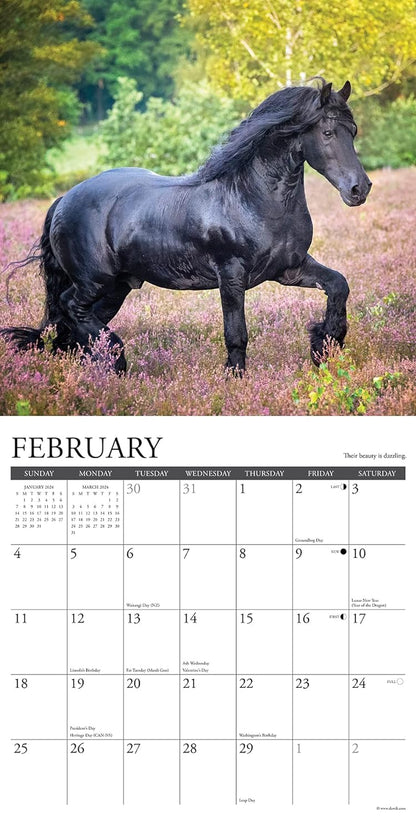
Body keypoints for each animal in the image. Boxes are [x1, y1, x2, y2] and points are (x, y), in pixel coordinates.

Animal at [1, 78, 371, 374]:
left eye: (352, 131)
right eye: (327, 132)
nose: (359, 189)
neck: (253, 199)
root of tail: (63, 200)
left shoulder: (290, 269)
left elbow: (338, 285)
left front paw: (324, 345)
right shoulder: (231, 275)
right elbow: (236, 334)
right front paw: (236, 378)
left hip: (117, 287)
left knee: (79, 322)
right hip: (94, 281)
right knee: (70, 307)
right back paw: (116, 360)